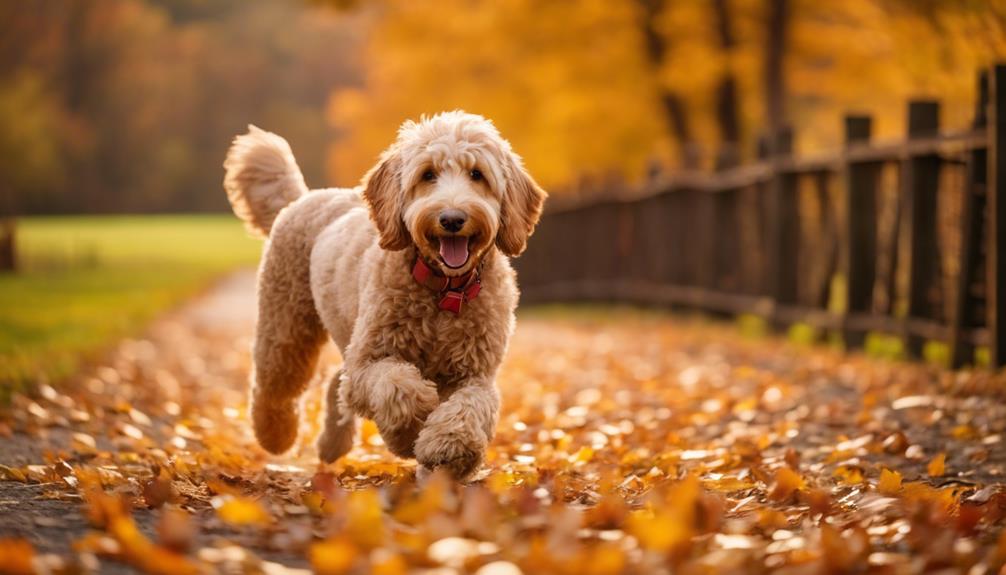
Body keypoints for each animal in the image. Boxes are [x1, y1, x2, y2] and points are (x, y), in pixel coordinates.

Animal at [224, 110, 547, 478]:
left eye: (477, 174)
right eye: (428, 174)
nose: (452, 219)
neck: (444, 291)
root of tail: (304, 197)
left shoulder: (475, 373)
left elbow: (471, 407)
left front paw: (451, 446)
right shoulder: (370, 361)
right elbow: (397, 385)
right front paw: (412, 427)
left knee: (336, 381)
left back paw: (331, 445)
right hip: (286, 322)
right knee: (277, 382)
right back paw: (276, 436)